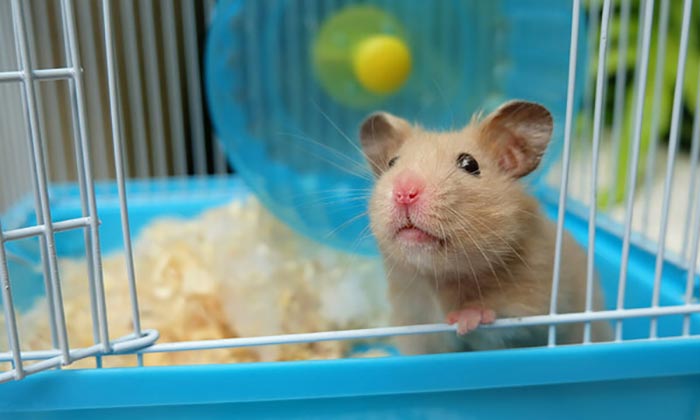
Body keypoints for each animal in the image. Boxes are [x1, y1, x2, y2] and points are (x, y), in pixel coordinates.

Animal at [358, 100, 612, 354]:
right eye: (392, 163)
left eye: (470, 164)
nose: (404, 192)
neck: (440, 280)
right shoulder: (416, 327)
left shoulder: (534, 306)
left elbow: (501, 320)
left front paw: (464, 319)